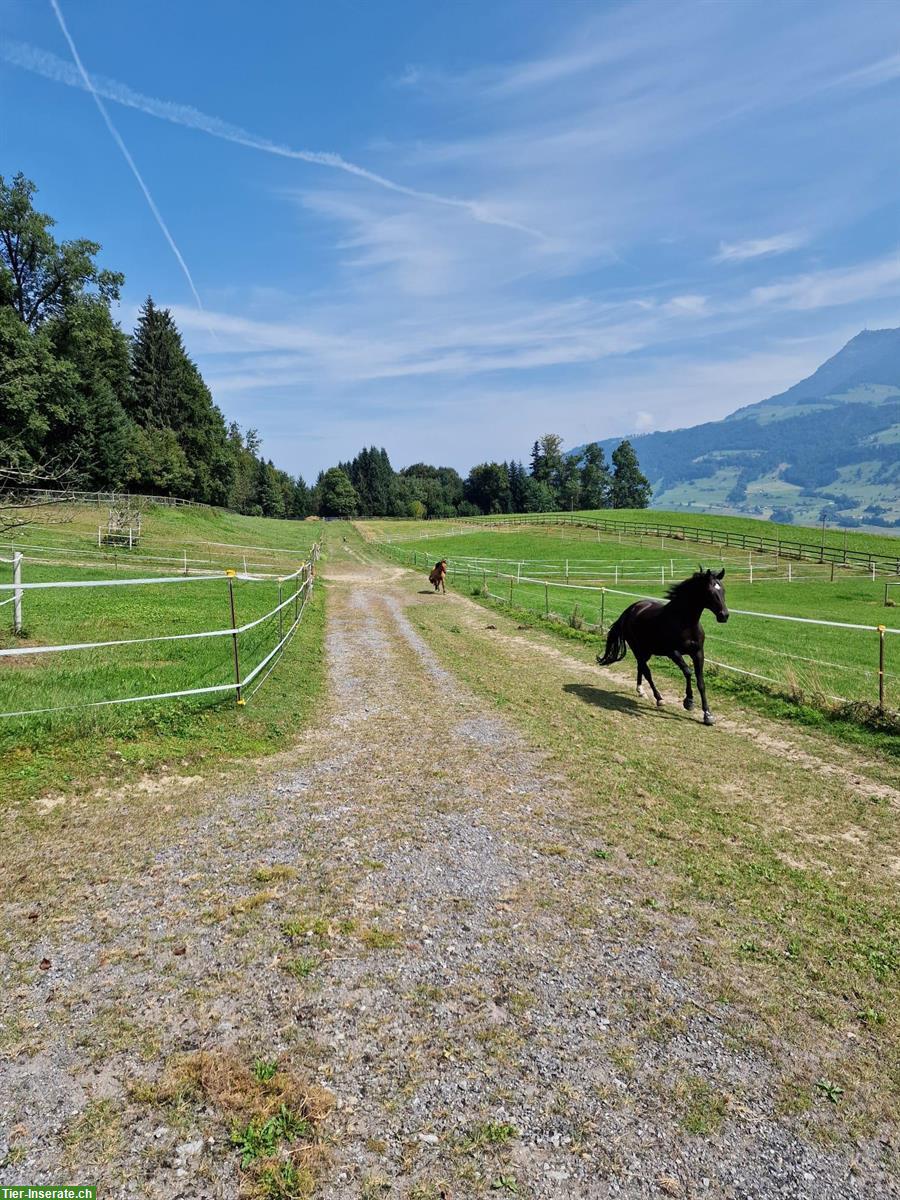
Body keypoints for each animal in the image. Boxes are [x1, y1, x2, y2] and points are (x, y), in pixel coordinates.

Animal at [600, 568, 734, 724]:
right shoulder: (673, 652)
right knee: (647, 671)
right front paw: (688, 702)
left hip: (646, 651)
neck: (685, 623)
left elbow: (701, 683)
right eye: (709, 591)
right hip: (637, 648)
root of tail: (630, 610)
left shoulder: (698, 653)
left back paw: (641, 691)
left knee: (641, 667)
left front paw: (708, 715)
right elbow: (688, 672)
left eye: (723, 590)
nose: (724, 615)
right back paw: (659, 698)